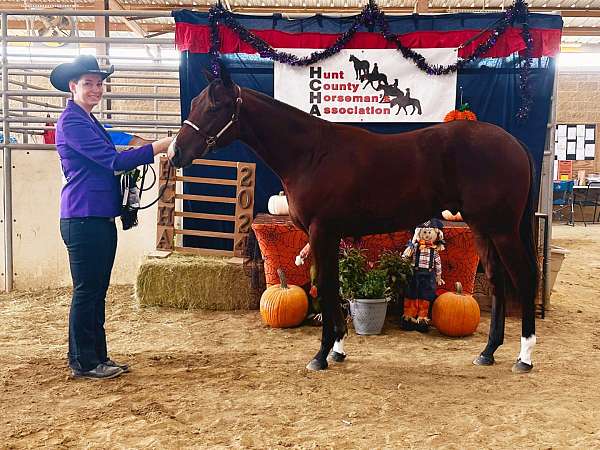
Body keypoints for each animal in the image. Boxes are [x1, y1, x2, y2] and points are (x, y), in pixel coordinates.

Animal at [168, 67, 540, 374]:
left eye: (214, 107)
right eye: (197, 102)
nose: (174, 152)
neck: (311, 154)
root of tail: (515, 144)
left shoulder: (322, 232)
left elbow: (326, 287)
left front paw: (320, 356)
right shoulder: (329, 236)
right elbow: (330, 286)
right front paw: (337, 350)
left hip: (503, 230)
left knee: (523, 277)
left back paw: (524, 357)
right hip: (482, 228)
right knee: (497, 280)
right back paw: (488, 352)